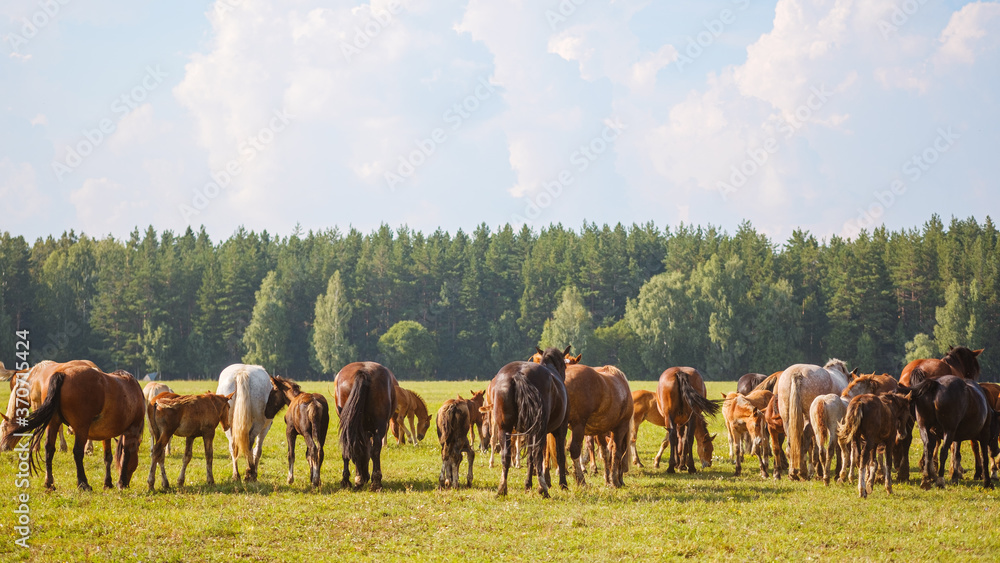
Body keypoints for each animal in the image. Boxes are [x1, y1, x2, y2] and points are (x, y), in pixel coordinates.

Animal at [0, 364, 145, 492]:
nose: (127, 481)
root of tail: (62, 373)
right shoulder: (132, 430)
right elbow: (126, 454)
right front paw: (121, 483)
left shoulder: (107, 433)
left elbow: (108, 457)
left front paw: (108, 483)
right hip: (81, 428)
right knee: (78, 452)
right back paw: (83, 484)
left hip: (53, 423)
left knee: (49, 449)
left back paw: (49, 483)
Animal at [336, 364, 398, 492]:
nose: (366, 477)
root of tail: (363, 372)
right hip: (380, 426)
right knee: (375, 450)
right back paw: (375, 482)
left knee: (354, 448)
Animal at [490, 344, 572, 498]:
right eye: (564, 365)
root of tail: (518, 374)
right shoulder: (560, 429)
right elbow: (560, 456)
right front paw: (563, 484)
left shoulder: (527, 431)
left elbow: (529, 459)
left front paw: (527, 484)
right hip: (538, 430)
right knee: (537, 454)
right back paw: (543, 488)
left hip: (505, 428)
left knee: (506, 455)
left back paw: (502, 488)